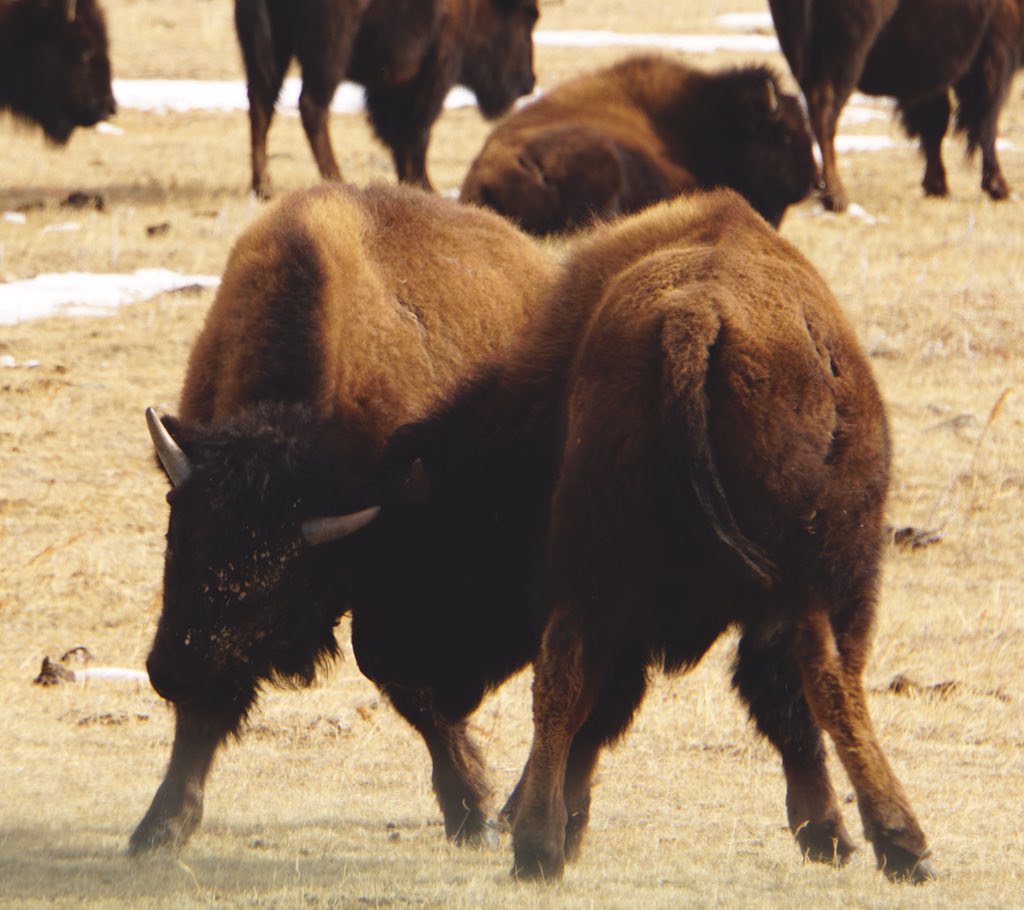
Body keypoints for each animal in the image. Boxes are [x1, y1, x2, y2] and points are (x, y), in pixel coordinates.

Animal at [129, 180, 557, 853]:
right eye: (176, 540)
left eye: (273, 592)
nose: (172, 673)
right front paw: (160, 827)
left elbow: (413, 690)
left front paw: (473, 816)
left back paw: (519, 810)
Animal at [235, 0, 540, 199]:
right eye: (526, 16)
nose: (528, 82)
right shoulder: (437, 68)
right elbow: (417, 132)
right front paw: (425, 186)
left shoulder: (391, 82)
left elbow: (397, 134)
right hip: (329, 55)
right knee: (311, 107)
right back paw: (336, 178)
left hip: (269, 52)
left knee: (261, 107)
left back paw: (264, 187)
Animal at [769, 0, 1024, 211]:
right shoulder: (994, 55)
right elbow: (984, 123)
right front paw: (999, 187)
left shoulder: (931, 73)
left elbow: (935, 125)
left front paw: (936, 186)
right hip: (846, 58)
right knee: (825, 113)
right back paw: (837, 198)